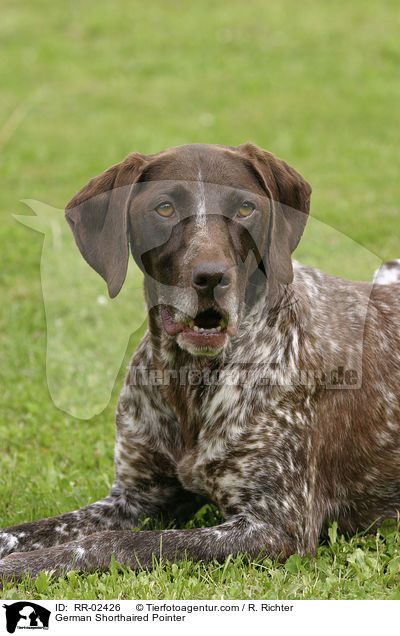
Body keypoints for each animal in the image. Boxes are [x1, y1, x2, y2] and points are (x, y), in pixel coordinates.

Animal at [0, 144, 400, 580]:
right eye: (164, 208)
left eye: (245, 208)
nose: (211, 277)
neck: (190, 378)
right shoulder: (134, 497)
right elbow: (26, 530)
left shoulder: (276, 526)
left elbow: (114, 543)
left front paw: (24, 566)